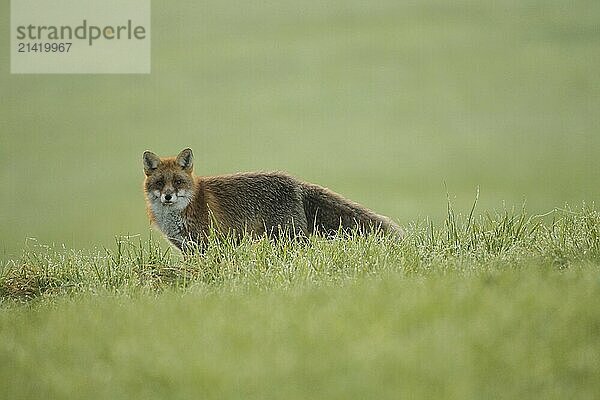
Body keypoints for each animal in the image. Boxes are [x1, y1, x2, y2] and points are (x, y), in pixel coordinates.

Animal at [142, 148, 400, 252]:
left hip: (290, 237)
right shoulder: (187, 248)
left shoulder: (210, 242)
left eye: (178, 182)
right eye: (159, 183)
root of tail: (295, 181)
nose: (168, 196)